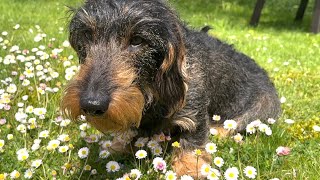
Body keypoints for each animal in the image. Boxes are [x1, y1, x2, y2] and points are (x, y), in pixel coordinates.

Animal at [61, 0, 282, 177]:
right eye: (88, 35)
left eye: (137, 40)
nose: (92, 104)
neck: (151, 90)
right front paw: (117, 148)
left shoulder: (194, 113)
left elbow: (192, 141)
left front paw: (190, 168)